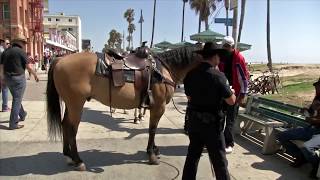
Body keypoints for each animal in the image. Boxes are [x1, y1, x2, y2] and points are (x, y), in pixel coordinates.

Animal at [46, 45, 201, 170]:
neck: (163, 70)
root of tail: (60, 60)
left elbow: (153, 129)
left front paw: (154, 149)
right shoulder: (158, 107)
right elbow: (152, 130)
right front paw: (151, 154)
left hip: (70, 104)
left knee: (65, 124)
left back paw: (68, 156)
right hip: (76, 104)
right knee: (72, 129)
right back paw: (78, 161)